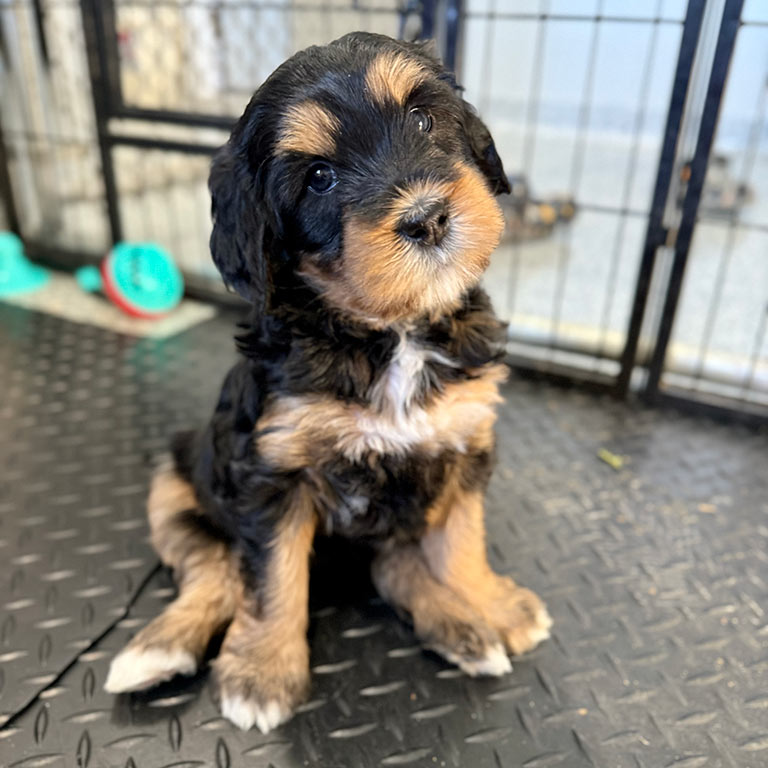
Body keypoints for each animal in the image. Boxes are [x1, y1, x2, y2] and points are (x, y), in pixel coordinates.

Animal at [106, 33, 552, 732]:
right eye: (320, 178)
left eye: (422, 120)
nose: (428, 219)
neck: (390, 332)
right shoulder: (274, 473)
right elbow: (272, 578)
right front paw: (262, 674)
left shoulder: (465, 443)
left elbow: (461, 539)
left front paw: (487, 601)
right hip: (173, 485)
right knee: (216, 571)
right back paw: (161, 648)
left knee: (396, 565)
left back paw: (462, 626)